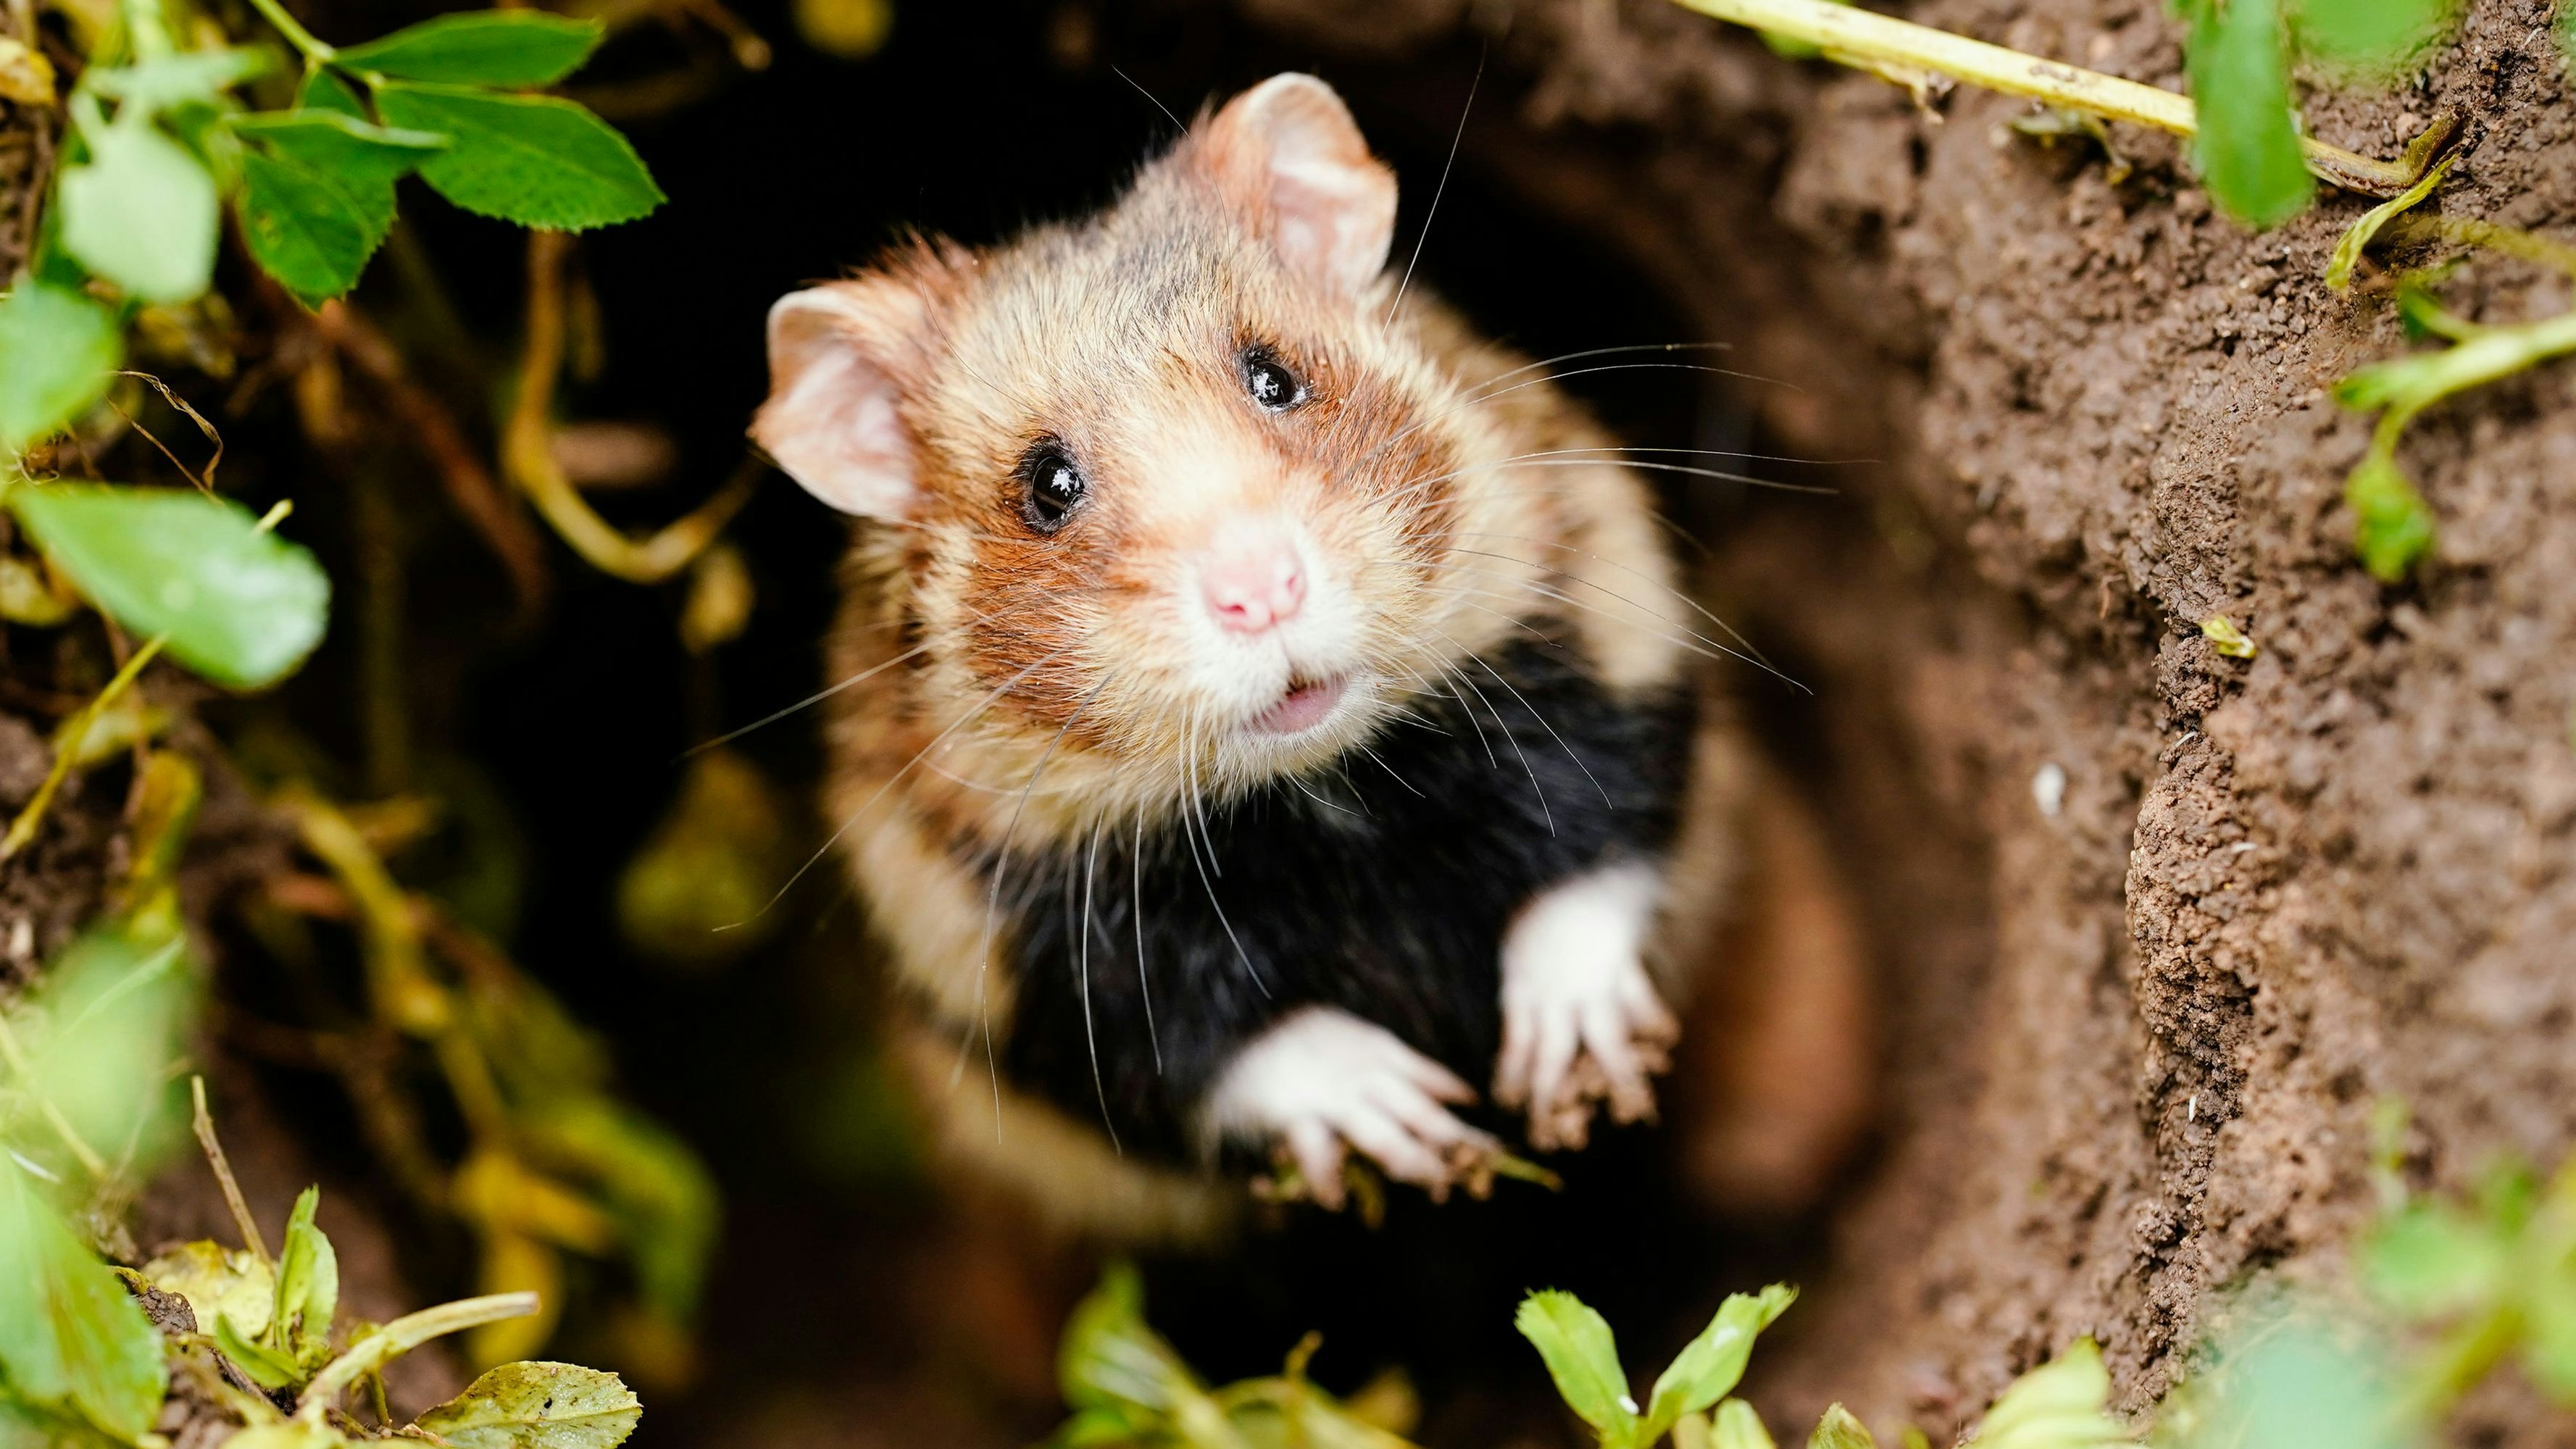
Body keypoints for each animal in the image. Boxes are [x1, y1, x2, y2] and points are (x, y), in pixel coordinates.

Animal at [751, 73, 1856, 1238]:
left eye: (1274, 377)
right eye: (1046, 486)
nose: (1261, 589)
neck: (1325, 798)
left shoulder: (1607, 618)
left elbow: (1598, 842)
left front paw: (1557, 1062)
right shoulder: (995, 940)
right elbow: (1202, 1049)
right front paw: (1416, 1118)